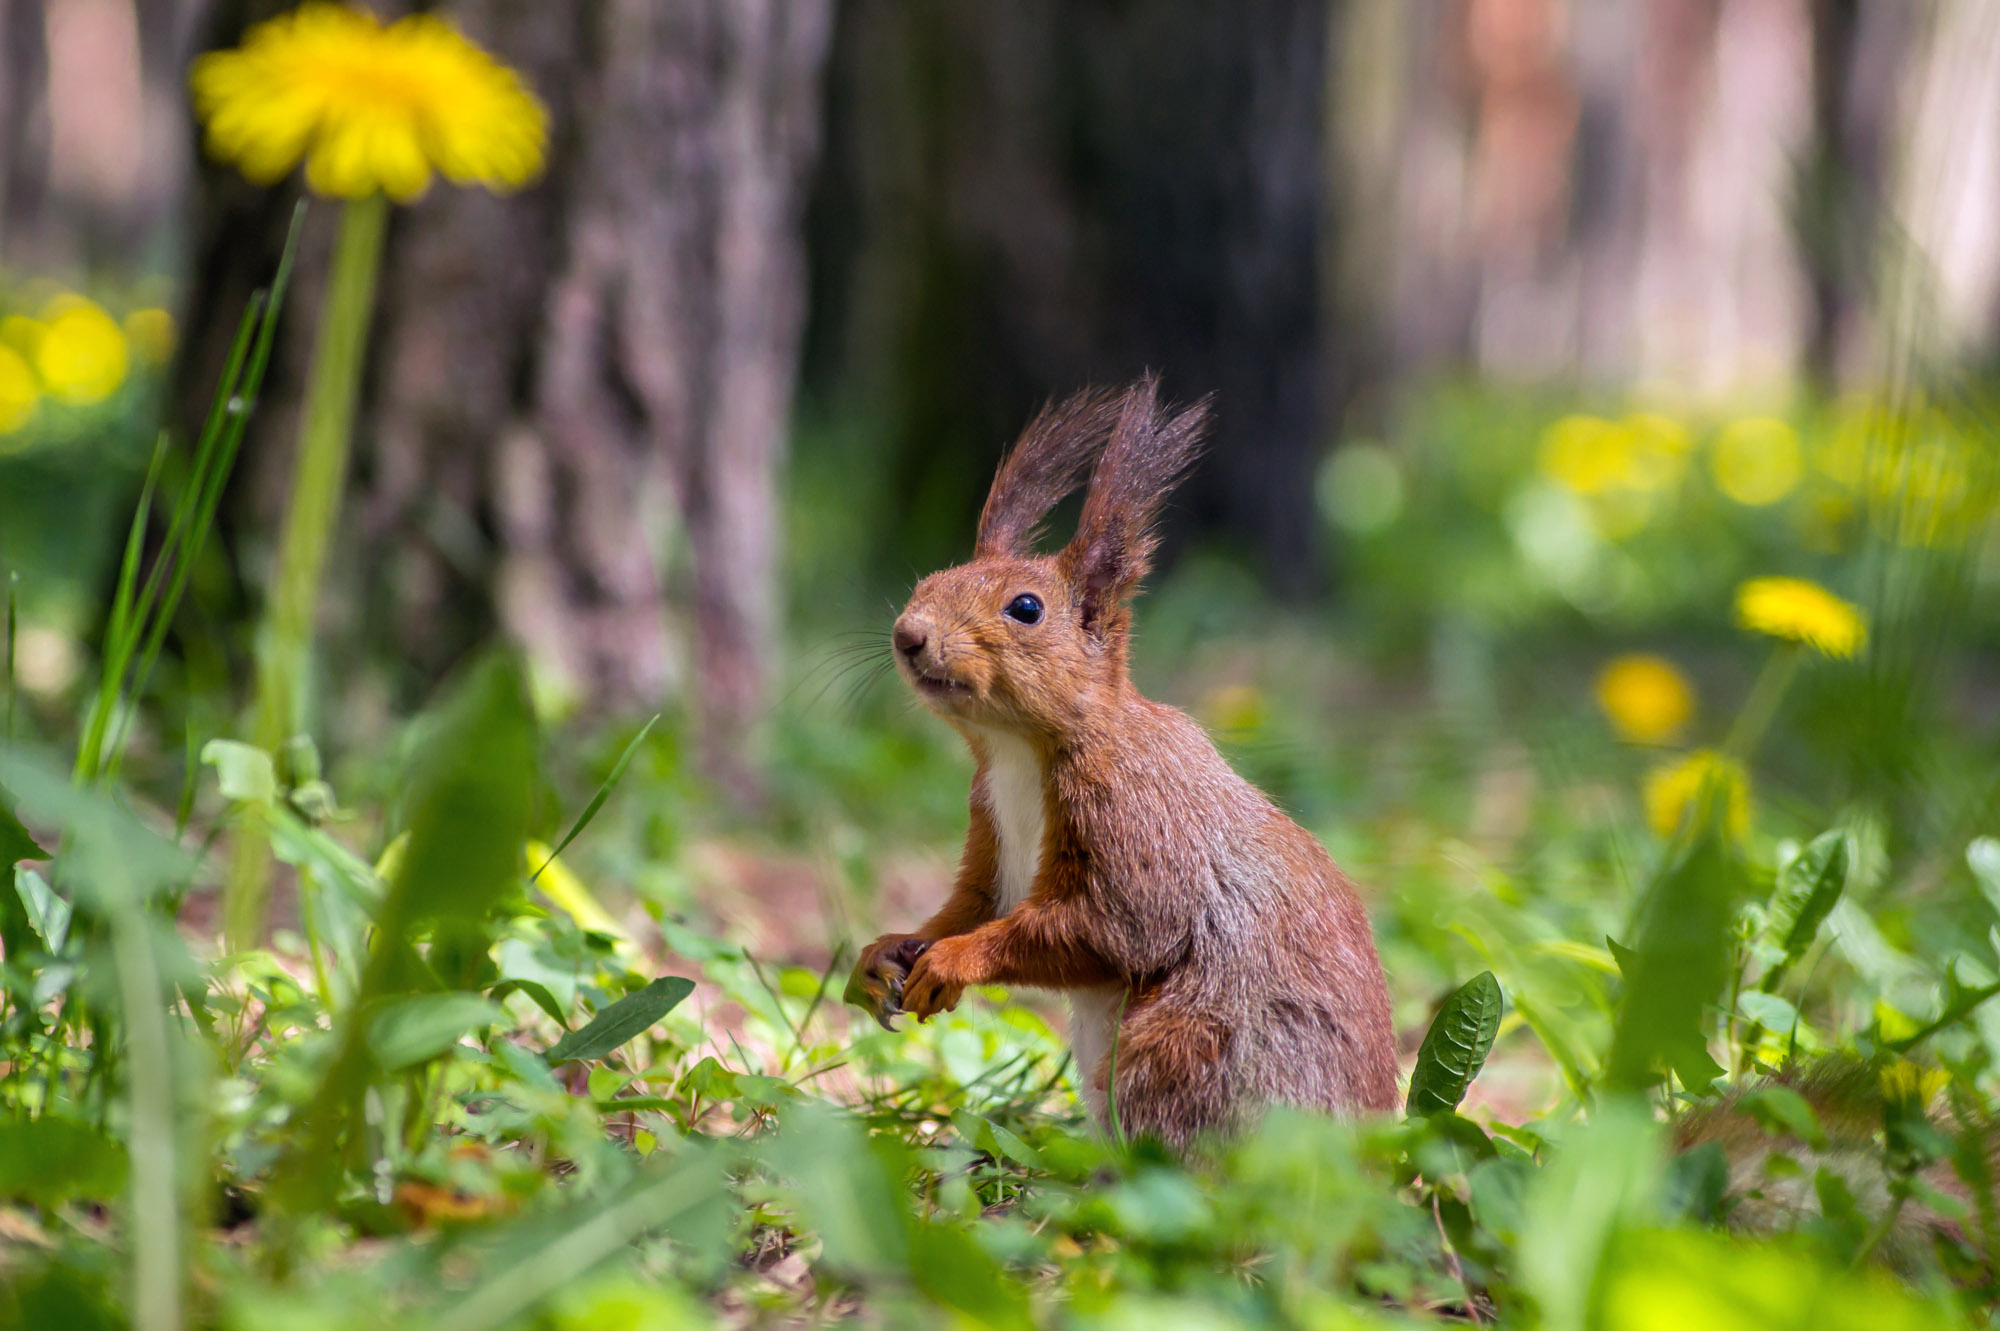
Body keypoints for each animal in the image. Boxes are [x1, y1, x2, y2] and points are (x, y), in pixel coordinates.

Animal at [852, 377, 1400, 1143]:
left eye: (1026, 608)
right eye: (929, 579)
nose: (908, 635)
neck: (1020, 750)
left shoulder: (1137, 820)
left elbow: (1114, 930)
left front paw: (958, 960)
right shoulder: (991, 822)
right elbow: (971, 905)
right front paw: (887, 950)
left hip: (1178, 1052)